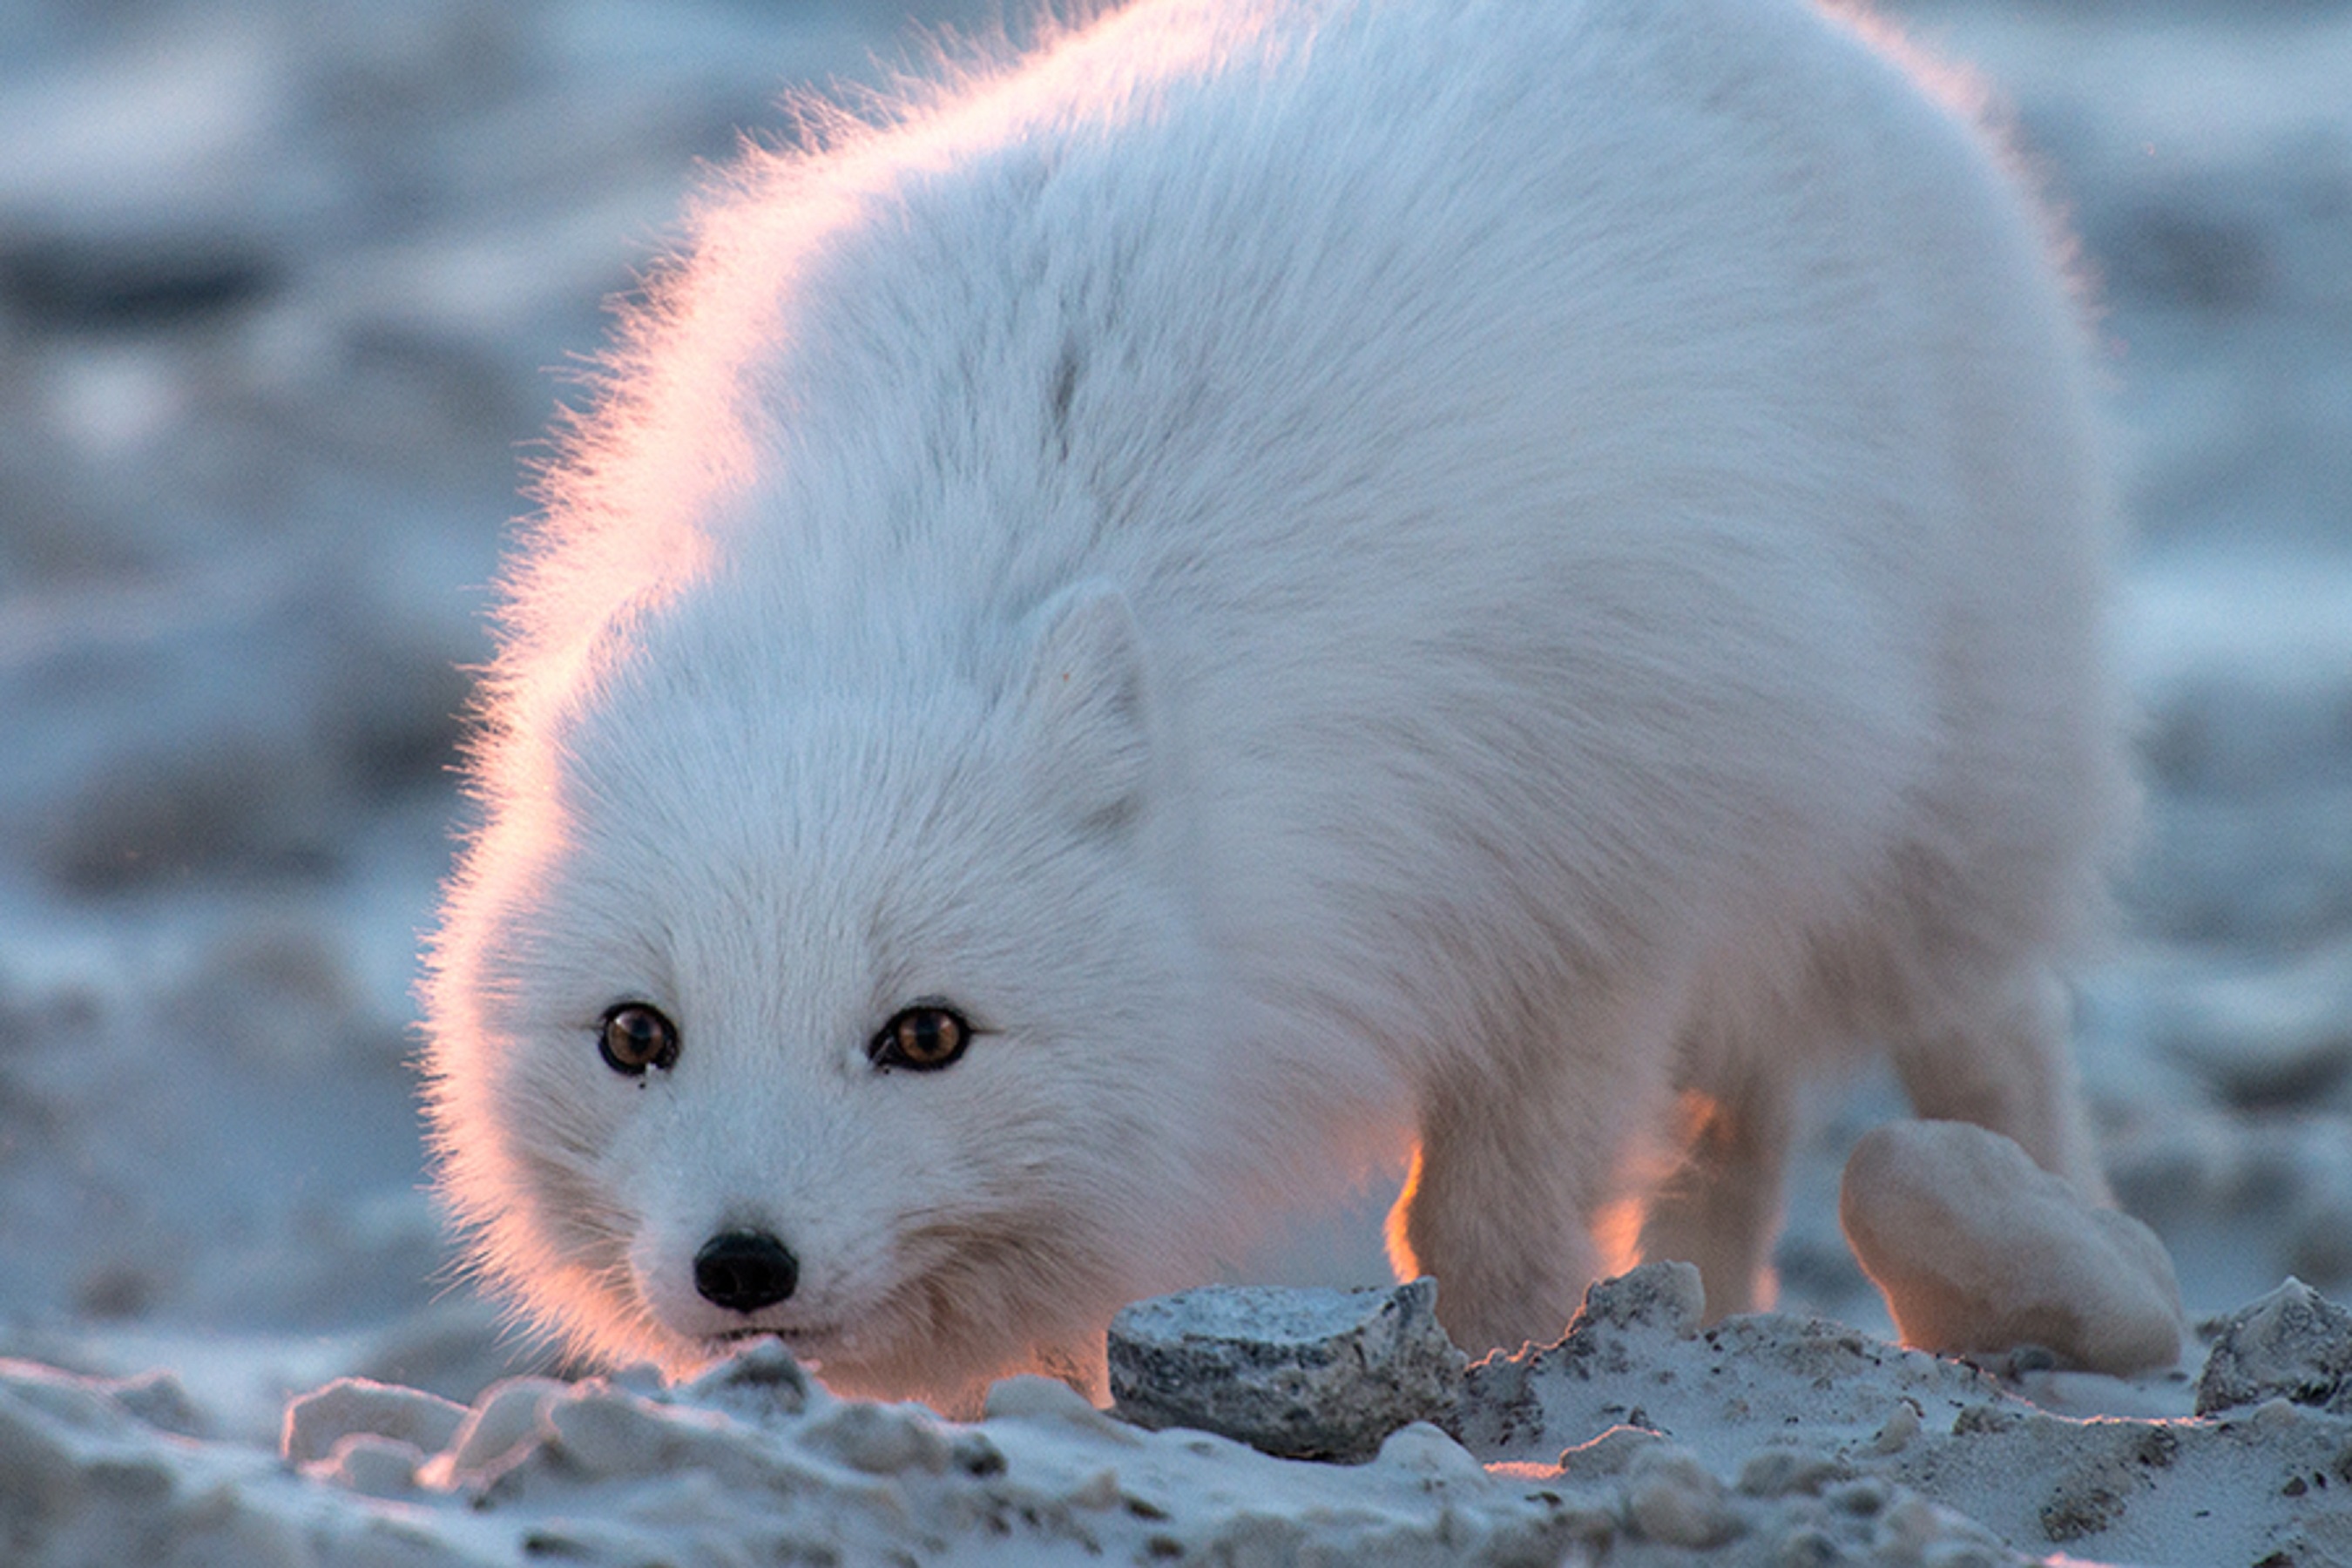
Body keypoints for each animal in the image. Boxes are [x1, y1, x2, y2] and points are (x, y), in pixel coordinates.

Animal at [418, 0, 2135, 1410]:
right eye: (636, 1035)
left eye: (926, 1037)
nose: (741, 1266)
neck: (932, 554)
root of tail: (1846, 48)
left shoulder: (1599, 881)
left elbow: (1489, 1215)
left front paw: (1510, 1373)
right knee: (1746, 1116)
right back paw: (1713, 1304)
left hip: (1943, 811)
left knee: (1989, 1029)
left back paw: (2074, 1273)